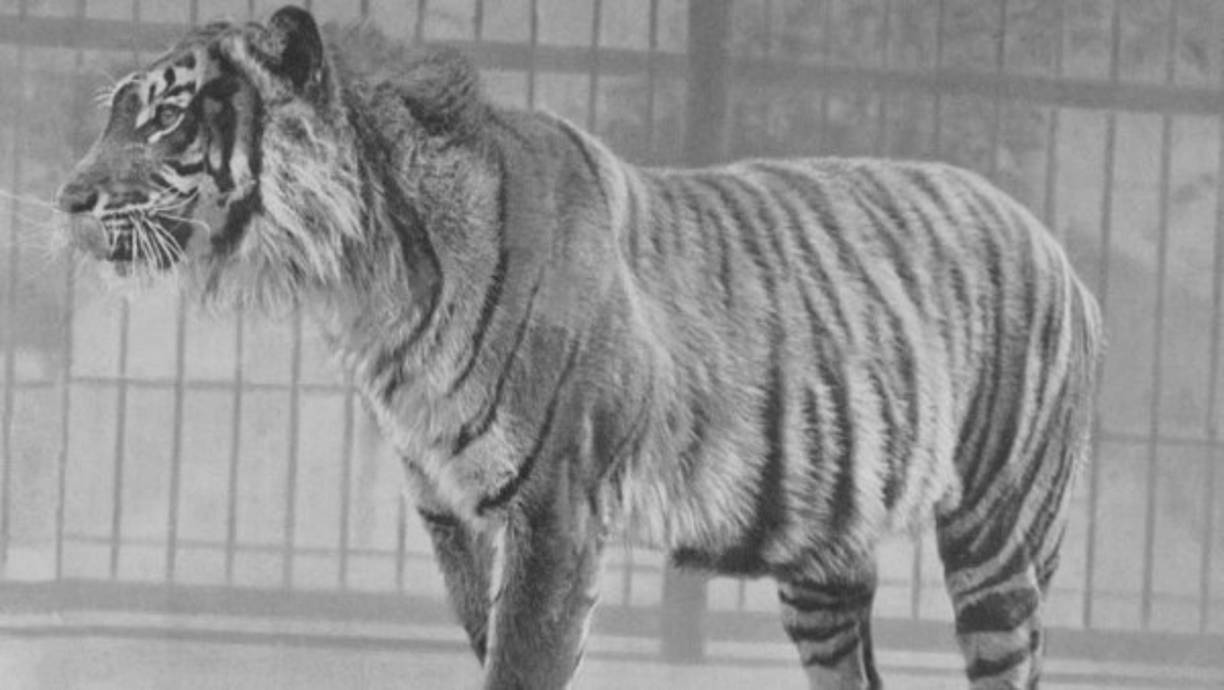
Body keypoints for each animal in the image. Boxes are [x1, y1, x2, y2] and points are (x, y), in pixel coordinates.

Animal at [55, 6, 1103, 689]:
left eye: (167, 115)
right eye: (115, 110)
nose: (66, 199)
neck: (364, 284)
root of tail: (1055, 243)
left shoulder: (556, 506)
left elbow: (522, 667)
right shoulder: (451, 513)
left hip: (1000, 541)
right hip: (825, 563)